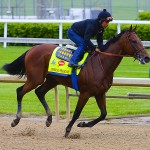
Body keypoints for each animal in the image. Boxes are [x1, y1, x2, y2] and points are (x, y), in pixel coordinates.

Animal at [2, 26, 149, 137]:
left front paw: (83, 124)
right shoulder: (85, 92)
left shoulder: (100, 93)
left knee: (39, 92)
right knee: (20, 91)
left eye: (140, 40)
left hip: (52, 80)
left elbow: (103, 114)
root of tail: (32, 49)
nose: (146, 57)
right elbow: (77, 112)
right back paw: (16, 120)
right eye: (134, 41)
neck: (101, 64)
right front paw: (68, 130)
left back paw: (49, 119)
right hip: (35, 78)